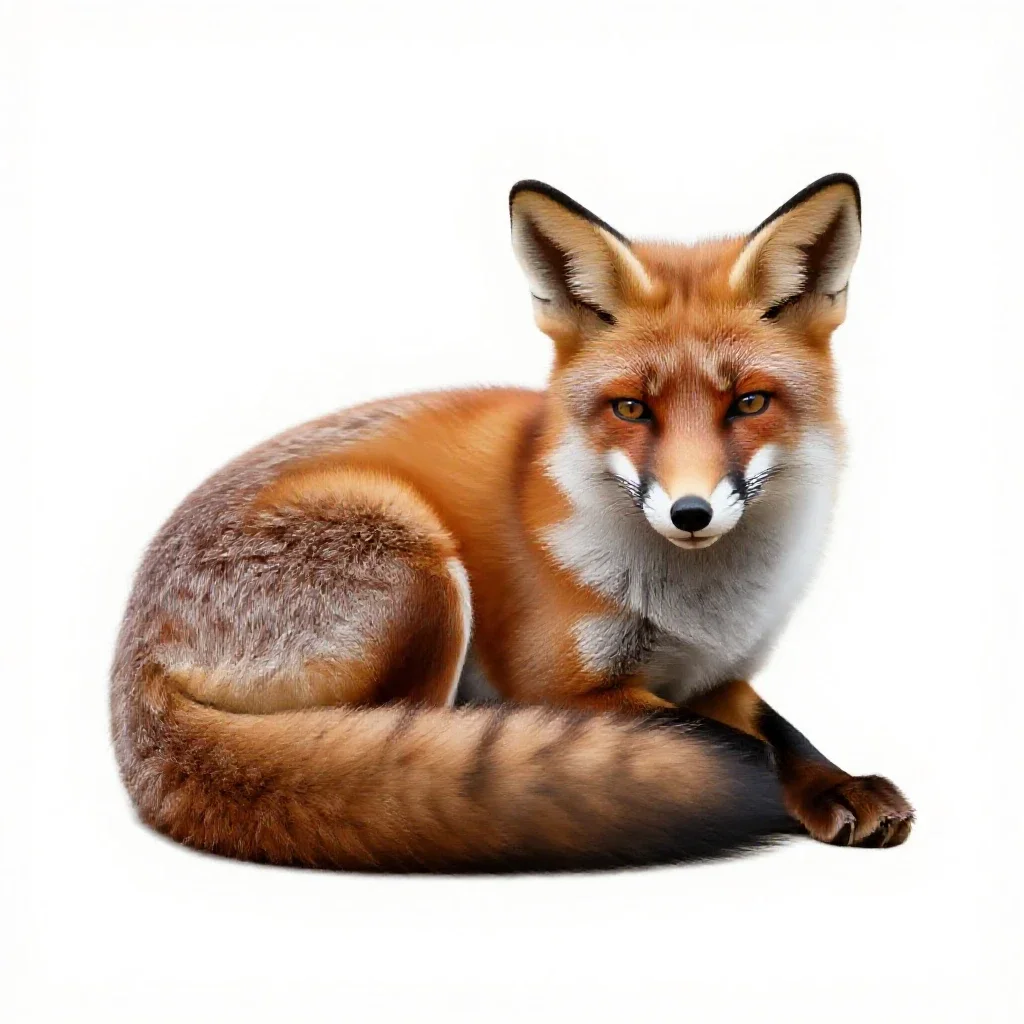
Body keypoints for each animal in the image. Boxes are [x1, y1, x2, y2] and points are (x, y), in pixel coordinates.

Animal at [111, 173, 913, 872]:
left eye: (748, 403)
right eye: (631, 408)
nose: (691, 513)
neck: (697, 607)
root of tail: (131, 660)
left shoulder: (714, 673)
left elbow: (782, 730)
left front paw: (840, 786)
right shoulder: (557, 686)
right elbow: (740, 743)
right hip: (417, 561)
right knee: (386, 754)